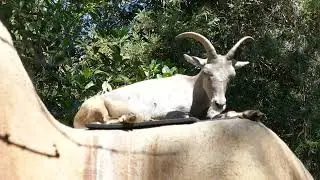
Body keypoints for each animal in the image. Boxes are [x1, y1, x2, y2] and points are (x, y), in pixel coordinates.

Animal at [73, 32, 260, 128]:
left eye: (231, 76)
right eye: (207, 72)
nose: (219, 103)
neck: (191, 88)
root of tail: (77, 116)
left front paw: (253, 113)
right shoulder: (172, 111)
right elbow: (194, 118)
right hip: (97, 108)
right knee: (105, 121)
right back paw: (132, 118)